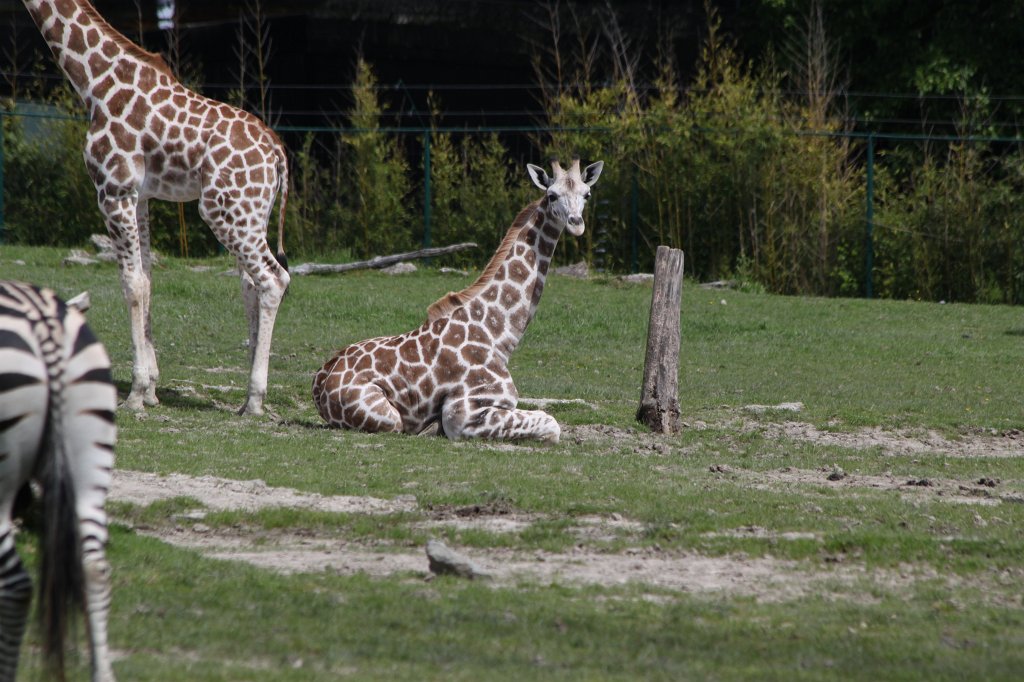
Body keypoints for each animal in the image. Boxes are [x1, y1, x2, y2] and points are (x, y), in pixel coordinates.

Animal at [22, 0, 290, 415]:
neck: (94, 82)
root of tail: (278, 153)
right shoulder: (141, 196)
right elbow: (147, 279)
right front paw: (151, 388)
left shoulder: (112, 188)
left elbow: (131, 283)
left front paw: (135, 394)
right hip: (252, 210)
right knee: (251, 283)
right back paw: (247, 395)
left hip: (221, 210)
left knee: (274, 278)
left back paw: (256, 398)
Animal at [313, 158, 603, 442]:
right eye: (552, 195)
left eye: (587, 194)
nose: (576, 223)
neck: (499, 336)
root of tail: (319, 381)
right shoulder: (461, 413)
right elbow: (551, 424)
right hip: (388, 416)